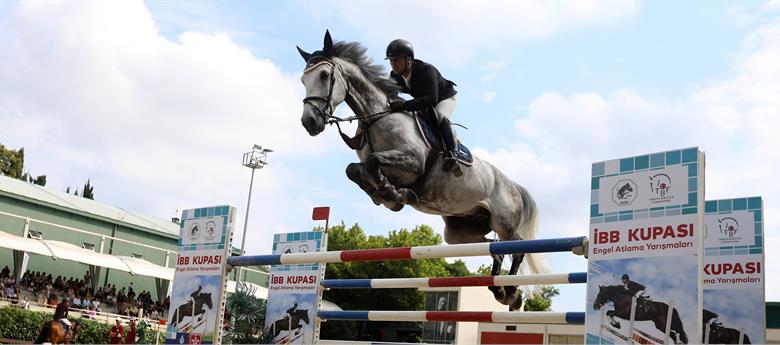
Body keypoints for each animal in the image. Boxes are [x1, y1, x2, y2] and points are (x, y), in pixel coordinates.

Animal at [296, 30, 544, 308]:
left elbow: (373, 163)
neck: (378, 117)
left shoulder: (412, 162)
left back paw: (510, 293)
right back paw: (500, 290)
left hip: (504, 222)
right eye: (303, 79)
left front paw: (393, 194)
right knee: (496, 251)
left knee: (517, 249)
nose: (309, 122)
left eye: (324, 75)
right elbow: (355, 169)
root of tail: (514, 185)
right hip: (460, 231)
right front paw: (386, 194)